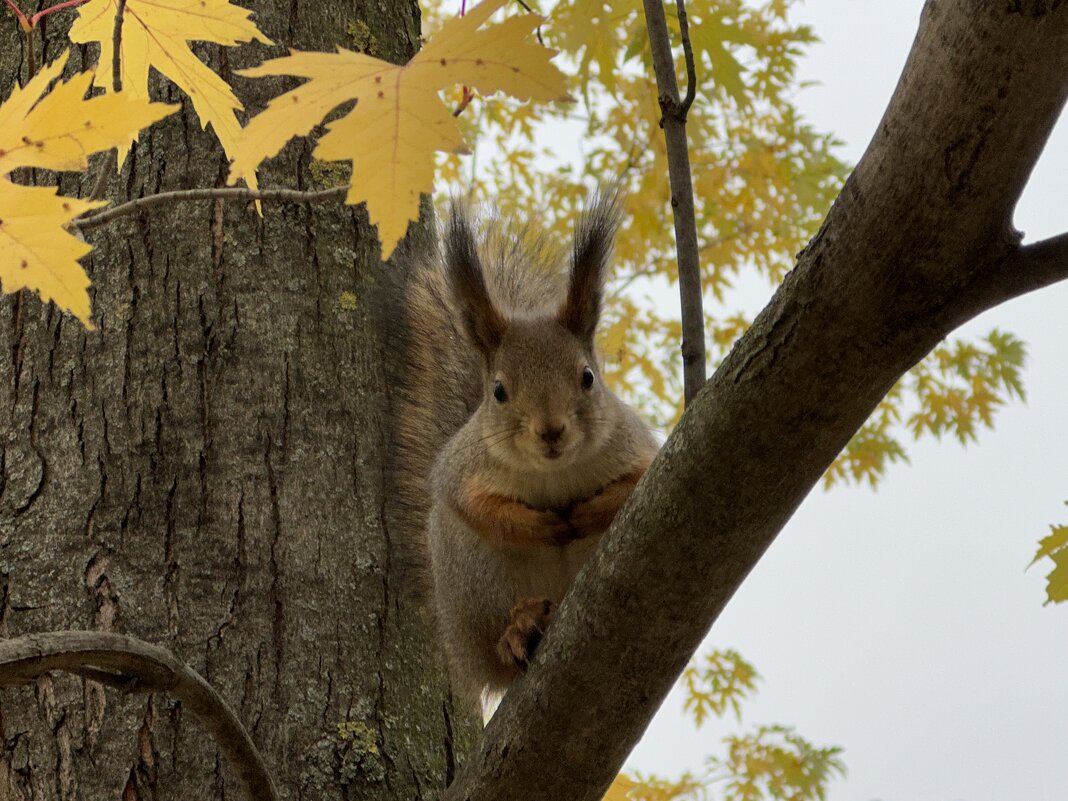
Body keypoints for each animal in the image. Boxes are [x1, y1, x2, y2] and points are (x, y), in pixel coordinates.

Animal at [395, 194, 657, 709]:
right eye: (498, 391)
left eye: (587, 377)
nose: (550, 431)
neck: (552, 473)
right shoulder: (460, 468)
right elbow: (474, 506)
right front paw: (539, 525)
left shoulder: (637, 446)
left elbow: (633, 484)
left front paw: (587, 512)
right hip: (474, 580)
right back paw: (518, 628)